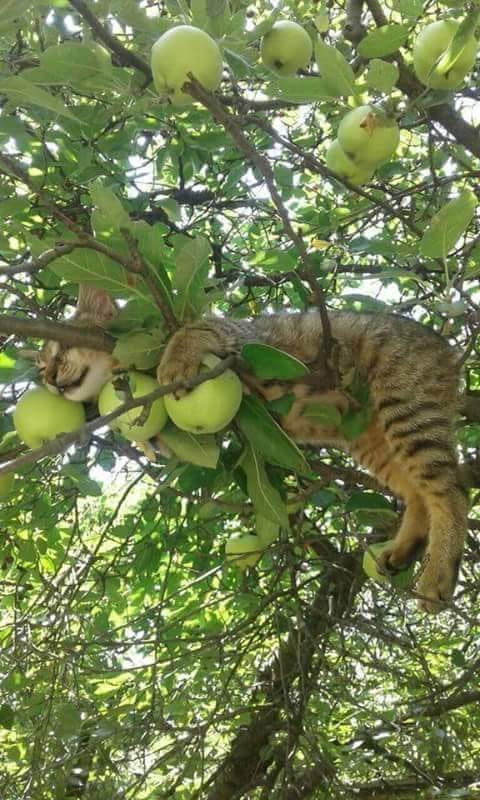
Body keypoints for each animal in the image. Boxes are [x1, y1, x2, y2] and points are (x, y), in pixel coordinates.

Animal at [38, 286, 468, 612]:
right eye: (41, 371)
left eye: (57, 353)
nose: (50, 381)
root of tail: (446, 347)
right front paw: (144, 439)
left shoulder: (237, 337)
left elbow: (191, 329)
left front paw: (174, 360)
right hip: (373, 441)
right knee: (418, 494)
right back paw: (405, 548)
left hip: (406, 410)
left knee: (451, 492)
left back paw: (438, 574)